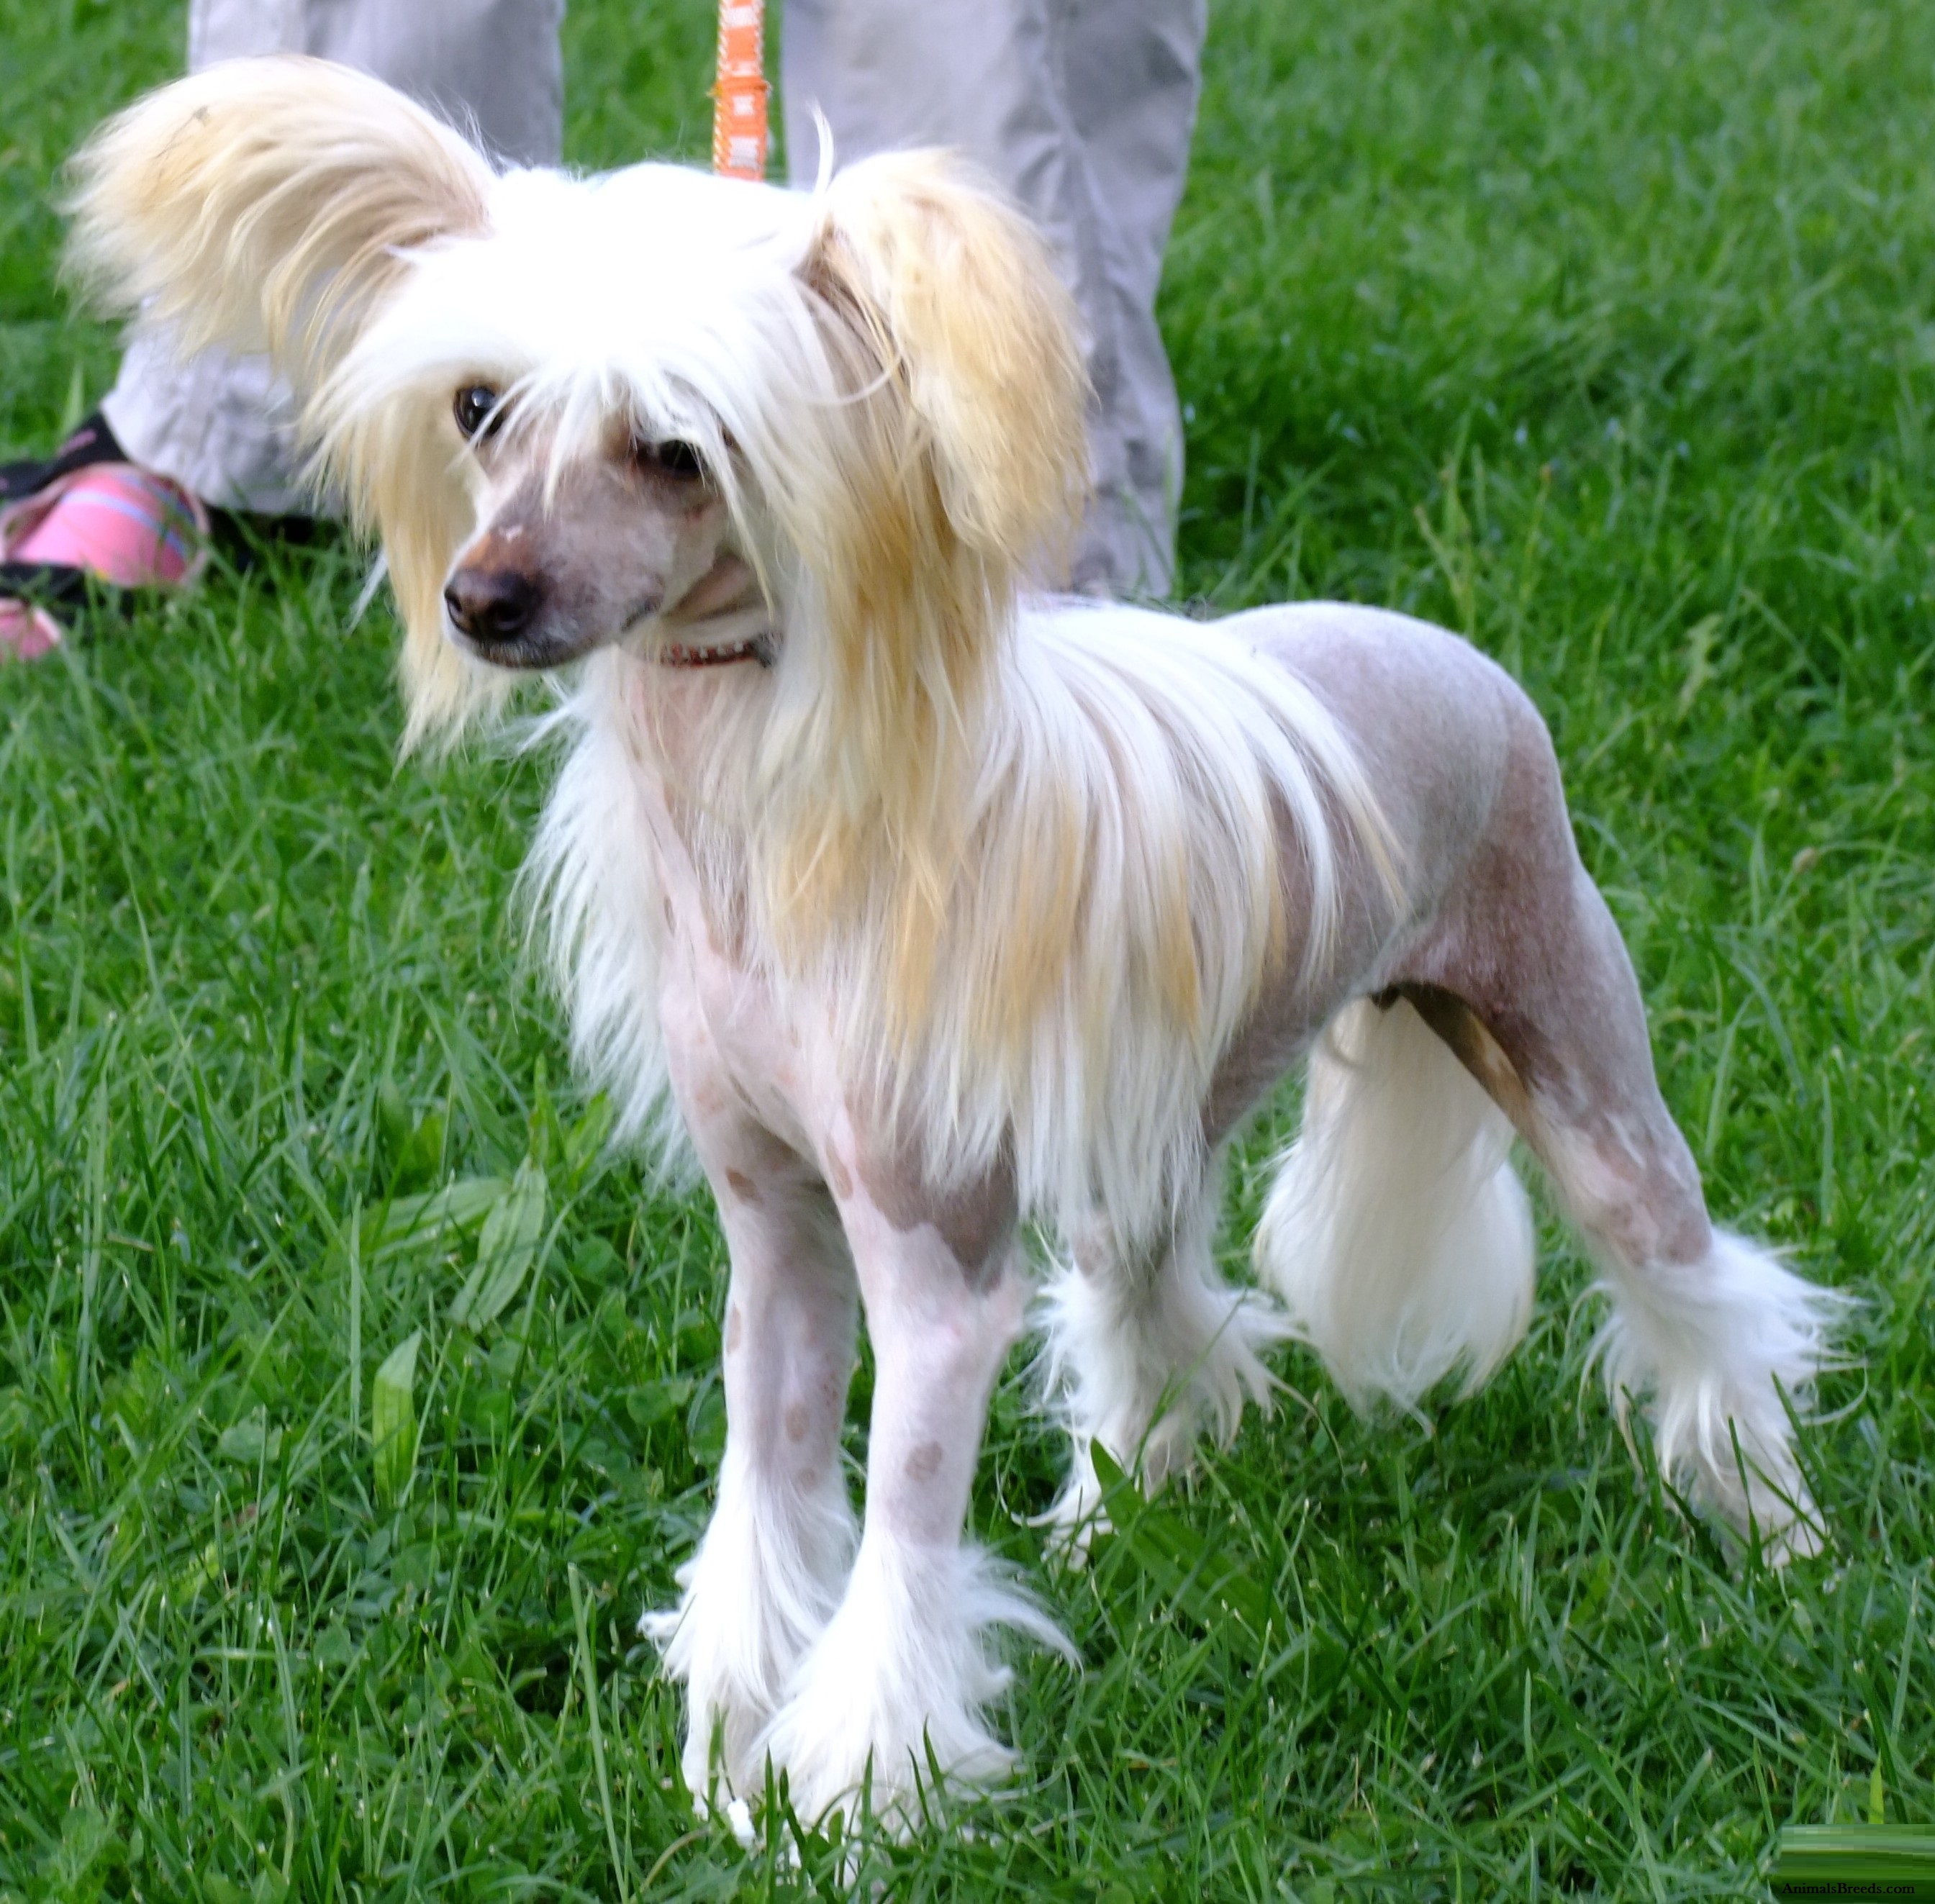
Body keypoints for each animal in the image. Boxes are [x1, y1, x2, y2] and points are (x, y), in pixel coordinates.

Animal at [68, 52, 1834, 1818]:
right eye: (479, 411)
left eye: (677, 451)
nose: (481, 601)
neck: (748, 837)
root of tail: (1444, 651)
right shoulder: (775, 1238)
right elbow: (768, 1486)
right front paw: (729, 1738)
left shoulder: (928, 1277)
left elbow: (899, 1542)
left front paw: (855, 1794)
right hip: (1149, 1132)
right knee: (1154, 1311)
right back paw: (1121, 1518)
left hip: (1575, 1055)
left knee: (1699, 1293)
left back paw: (1777, 1538)